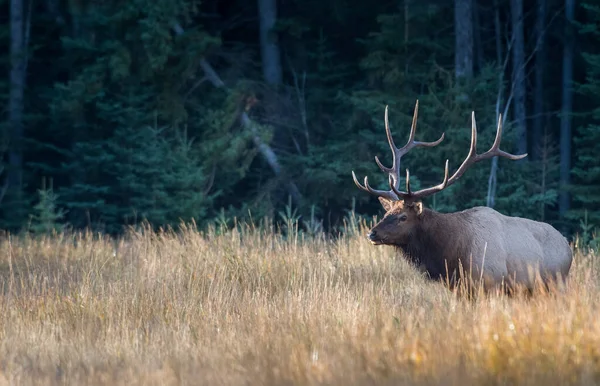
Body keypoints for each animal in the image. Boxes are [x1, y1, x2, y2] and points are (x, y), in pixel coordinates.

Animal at [354, 101, 576, 294]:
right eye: (387, 212)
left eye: (403, 217)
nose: (372, 233)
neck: (452, 256)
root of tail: (568, 247)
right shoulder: (461, 290)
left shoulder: (492, 283)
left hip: (557, 284)